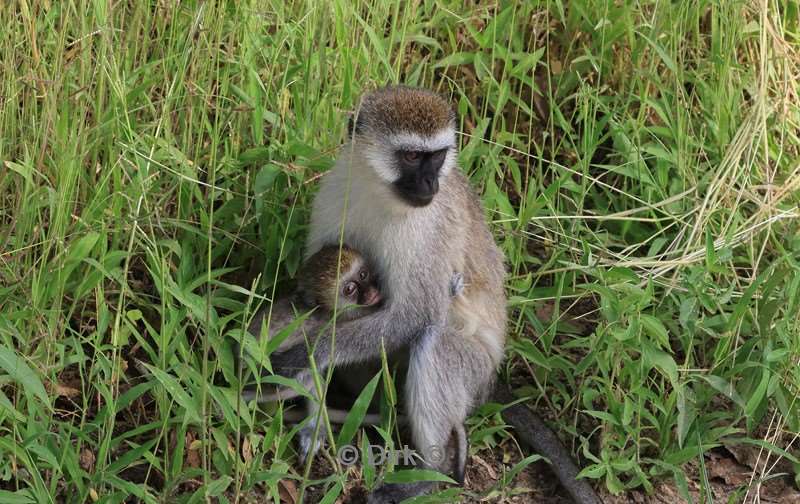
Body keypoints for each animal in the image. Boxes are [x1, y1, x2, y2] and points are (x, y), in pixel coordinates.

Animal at [268, 86, 600, 504]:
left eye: (437, 156)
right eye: (411, 156)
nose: (430, 185)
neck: (378, 193)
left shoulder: (428, 230)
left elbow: (415, 315)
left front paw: (304, 356)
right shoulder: (332, 196)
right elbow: (322, 302)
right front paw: (313, 417)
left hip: (474, 372)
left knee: (434, 342)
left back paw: (430, 473)